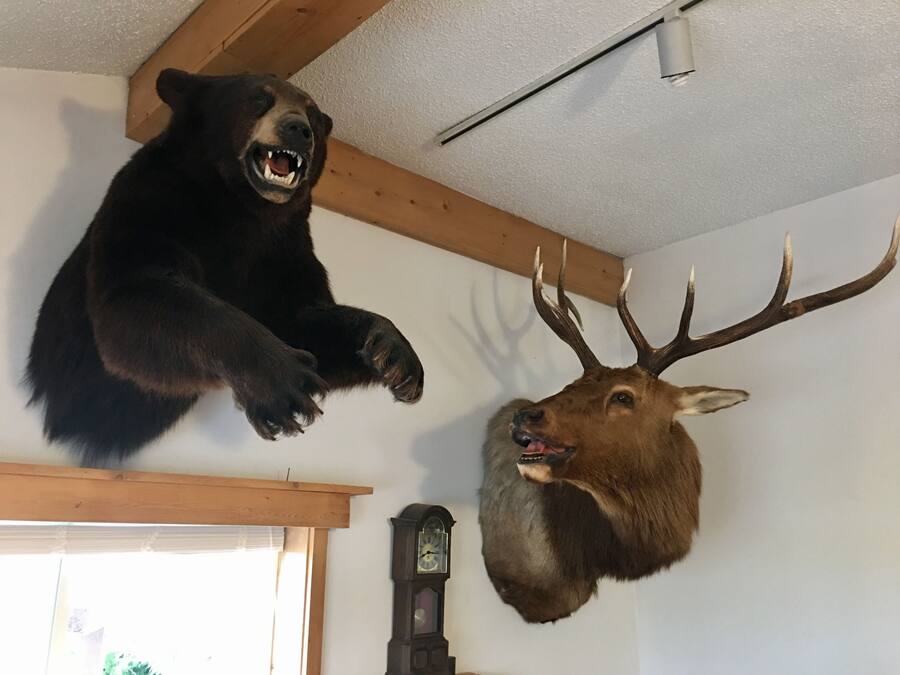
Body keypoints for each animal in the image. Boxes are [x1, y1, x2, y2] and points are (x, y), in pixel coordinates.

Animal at [26, 69, 424, 466]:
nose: (298, 129)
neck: (239, 204)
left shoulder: (281, 249)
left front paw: (397, 359)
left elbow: (300, 318)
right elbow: (137, 295)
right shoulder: (153, 201)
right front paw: (283, 382)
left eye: (312, 113)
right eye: (259, 98)